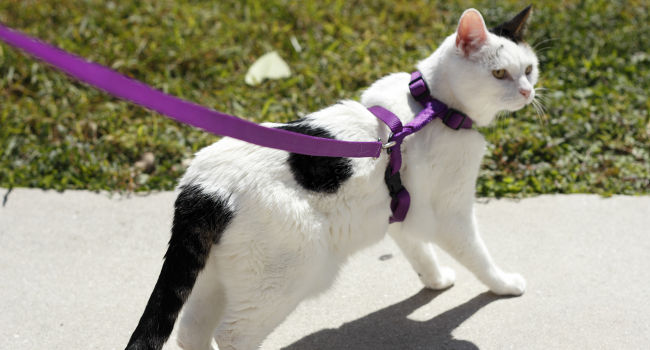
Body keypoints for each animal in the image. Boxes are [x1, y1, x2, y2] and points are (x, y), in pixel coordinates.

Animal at [125, 6, 536, 350]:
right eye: (500, 73)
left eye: (530, 68)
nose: (528, 91)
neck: (432, 104)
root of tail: (202, 188)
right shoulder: (449, 213)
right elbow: (477, 254)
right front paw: (504, 284)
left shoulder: (402, 210)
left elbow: (418, 250)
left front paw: (434, 280)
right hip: (286, 275)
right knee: (232, 334)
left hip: (215, 275)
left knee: (190, 330)